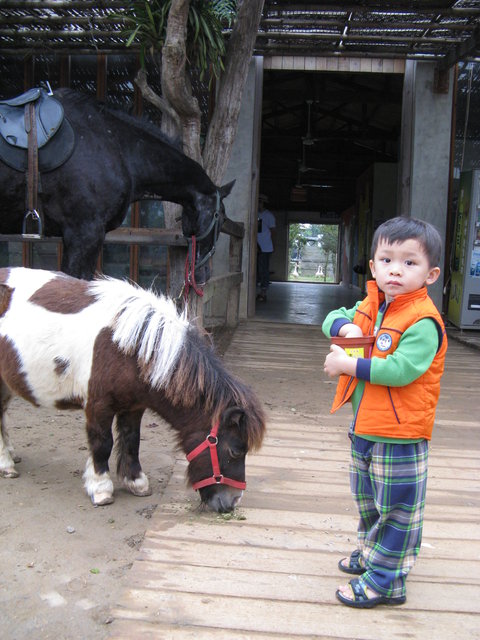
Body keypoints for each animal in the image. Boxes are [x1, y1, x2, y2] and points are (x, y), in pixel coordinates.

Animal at [0, 268, 266, 512]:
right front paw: (101, 488)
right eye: (235, 451)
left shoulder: (134, 407)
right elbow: (103, 443)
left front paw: (135, 481)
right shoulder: (98, 406)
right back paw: (6, 464)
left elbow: (131, 440)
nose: (232, 502)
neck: (127, 347)